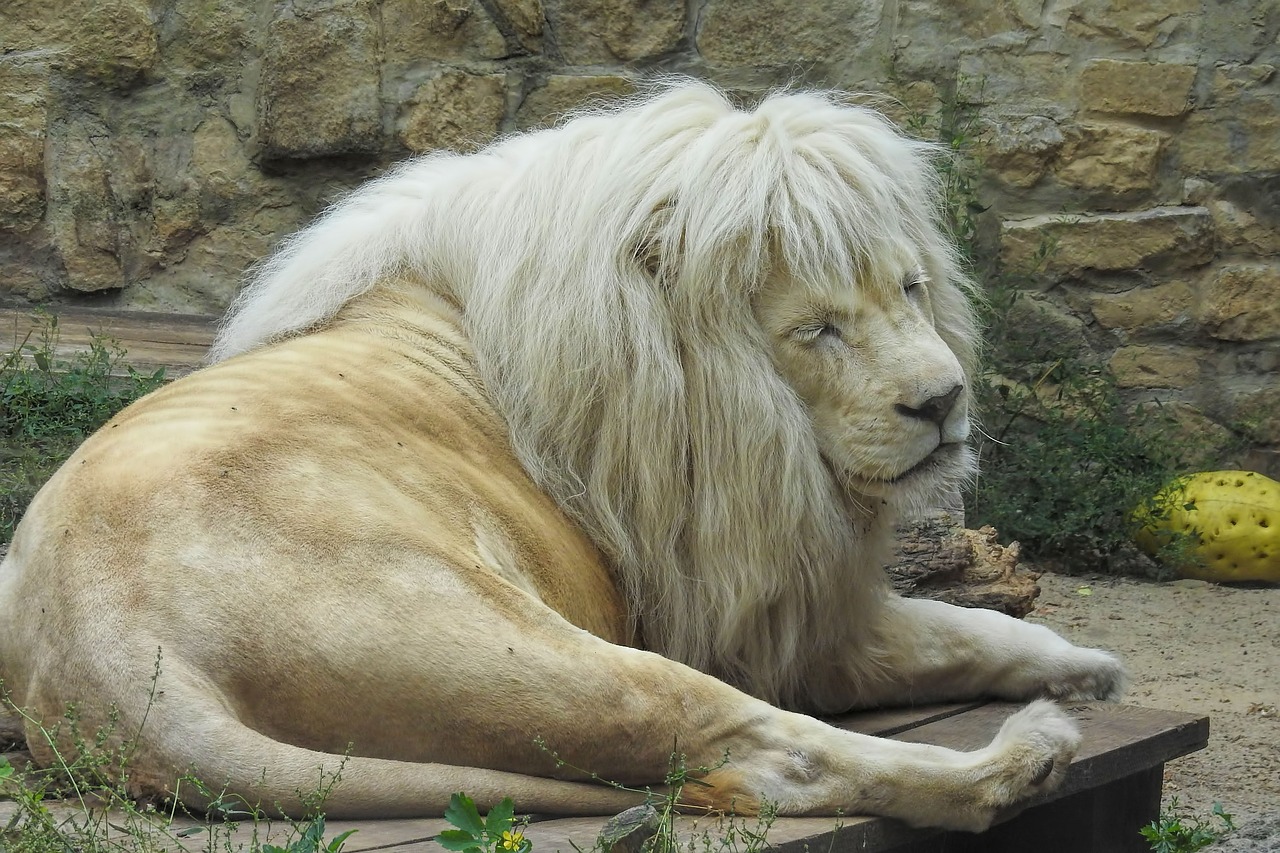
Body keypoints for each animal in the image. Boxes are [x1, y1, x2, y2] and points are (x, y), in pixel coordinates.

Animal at [0, 81, 1121, 829]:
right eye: (817, 331)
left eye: (911, 289)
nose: (942, 402)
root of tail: (111, 655)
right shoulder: (731, 601)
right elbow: (930, 630)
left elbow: (960, 626)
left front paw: (1085, 664)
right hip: (522, 641)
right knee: (772, 753)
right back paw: (1021, 757)